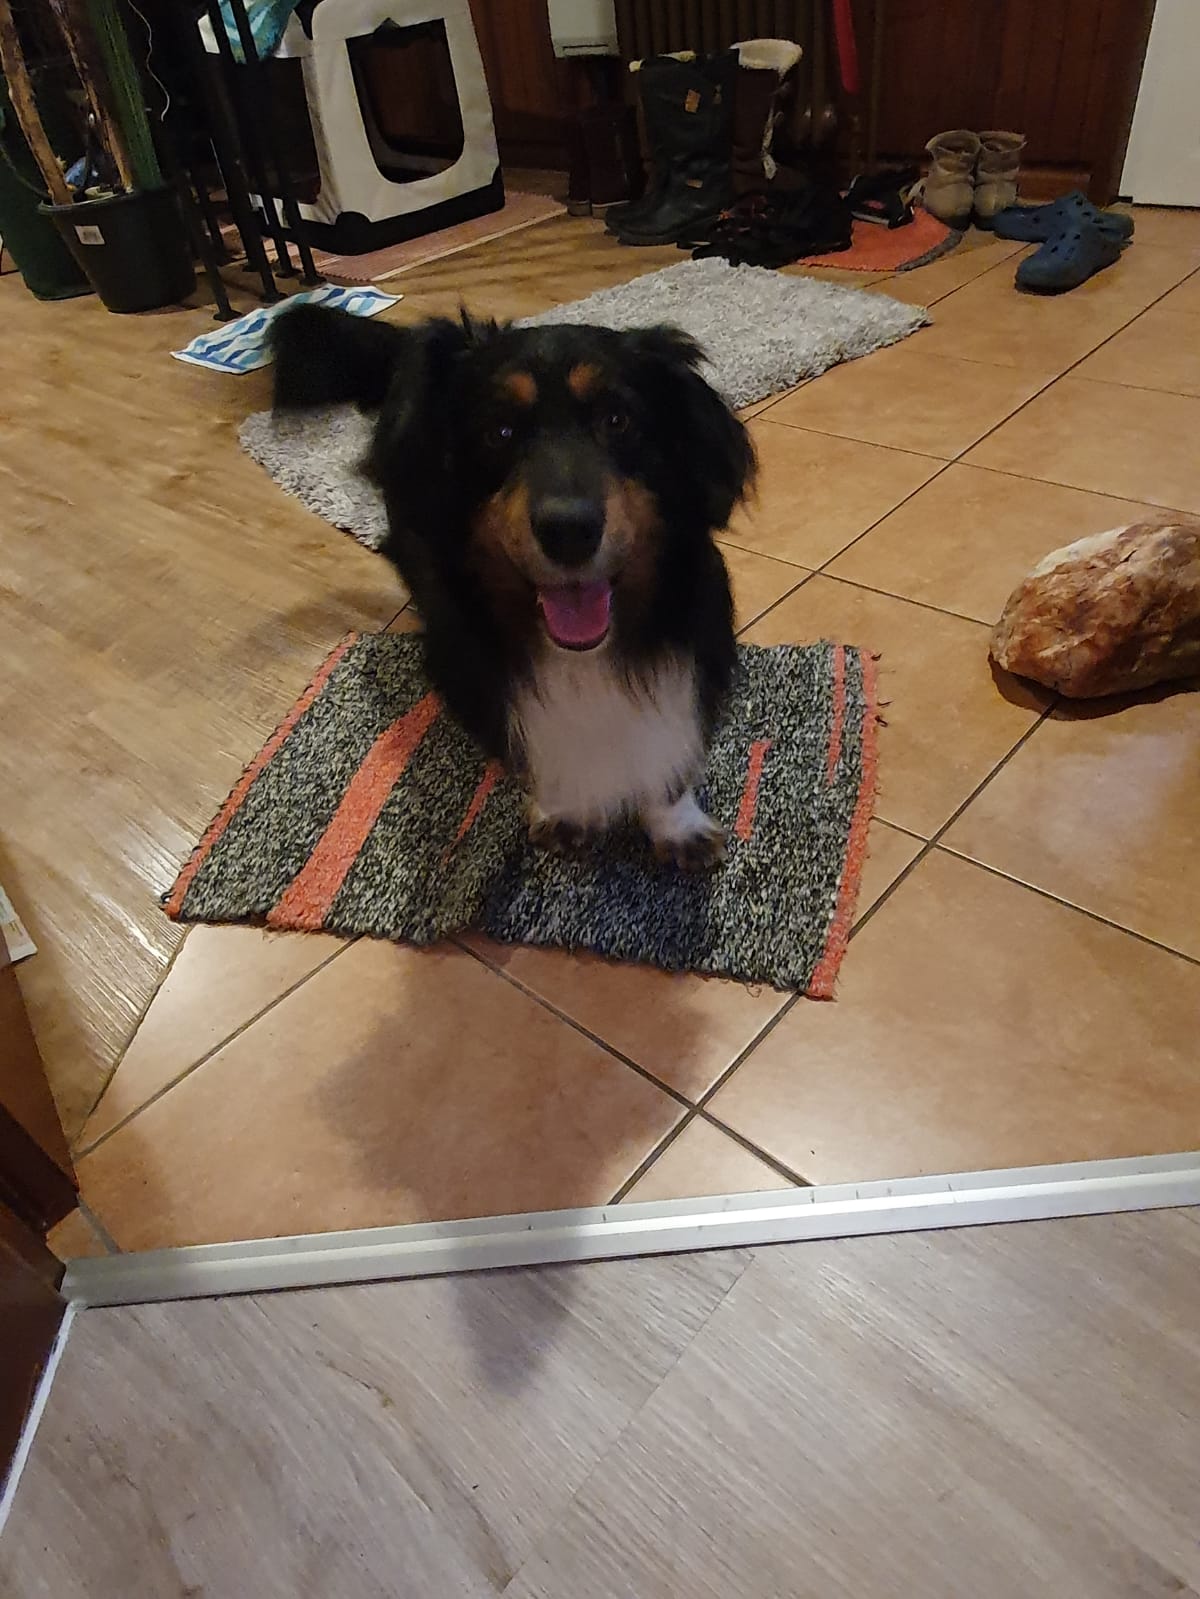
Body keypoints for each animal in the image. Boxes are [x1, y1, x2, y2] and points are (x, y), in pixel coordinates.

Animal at [269, 303, 755, 868]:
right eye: (499, 431)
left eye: (617, 420)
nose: (569, 531)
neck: (586, 657)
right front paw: (565, 810)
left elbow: (669, 752)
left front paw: (678, 825)